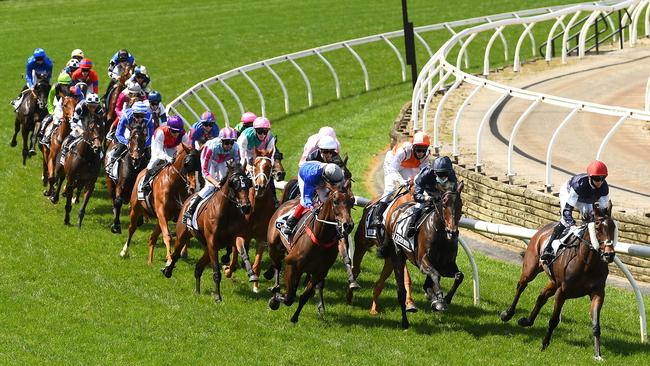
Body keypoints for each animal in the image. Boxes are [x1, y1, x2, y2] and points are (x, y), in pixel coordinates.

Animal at [161, 160, 252, 304]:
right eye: (234, 183)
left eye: (248, 183)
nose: (246, 207)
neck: (226, 212)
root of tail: (188, 199)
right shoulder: (213, 244)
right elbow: (216, 273)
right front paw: (218, 297)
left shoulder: (235, 238)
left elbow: (243, 251)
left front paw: (251, 273)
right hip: (183, 236)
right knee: (175, 254)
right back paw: (167, 270)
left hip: (206, 247)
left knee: (198, 267)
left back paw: (197, 291)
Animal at [224, 147, 274, 294]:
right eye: (255, 165)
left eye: (269, 166)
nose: (260, 186)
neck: (257, 208)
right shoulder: (239, 233)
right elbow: (235, 254)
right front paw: (228, 270)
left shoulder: (261, 238)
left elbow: (257, 263)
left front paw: (255, 285)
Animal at [264, 180, 354, 324]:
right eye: (335, 201)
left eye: (351, 202)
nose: (348, 225)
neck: (321, 238)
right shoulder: (292, 264)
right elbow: (289, 297)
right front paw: (274, 301)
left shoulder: (319, 273)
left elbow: (304, 296)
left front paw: (295, 317)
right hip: (273, 246)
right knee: (277, 265)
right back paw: (275, 285)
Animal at [382, 182, 464, 328]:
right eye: (444, 204)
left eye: (460, 204)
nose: (452, 232)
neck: (441, 236)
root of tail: (395, 210)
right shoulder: (423, 262)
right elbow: (436, 275)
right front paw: (440, 300)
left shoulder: (446, 265)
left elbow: (459, 276)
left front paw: (445, 299)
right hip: (397, 255)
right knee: (401, 291)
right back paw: (405, 322)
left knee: (427, 284)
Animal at [498, 202, 616, 358]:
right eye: (597, 227)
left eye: (613, 227)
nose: (609, 255)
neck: (587, 263)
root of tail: (543, 229)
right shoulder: (563, 291)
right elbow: (554, 320)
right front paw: (544, 344)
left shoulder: (598, 292)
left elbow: (596, 325)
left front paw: (598, 355)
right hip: (531, 269)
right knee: (521, 285)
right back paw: (508, 314)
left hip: (554, 282)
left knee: (541, 296)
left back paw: (526, 321)